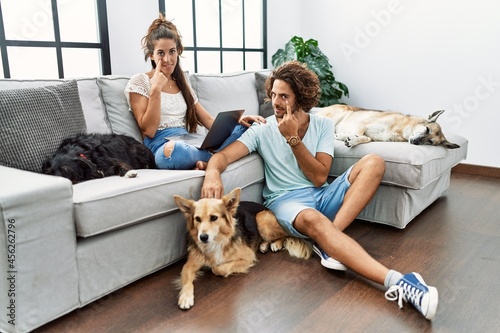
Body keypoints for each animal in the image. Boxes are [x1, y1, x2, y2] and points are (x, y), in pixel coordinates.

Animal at [174, 187, 310, 308]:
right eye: (197, 219)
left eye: (214, 218)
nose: (202, 237)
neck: (217, 241)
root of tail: (266, 207)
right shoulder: (189, 264)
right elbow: (187, 280)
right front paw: (185, 297)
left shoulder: (247, 257)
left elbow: (218, 269)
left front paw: (215, 267)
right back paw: (263, 245)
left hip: (262, 222)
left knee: (285, 234)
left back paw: (275, 244)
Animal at [318, 104, 458, 148]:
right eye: (427, 129)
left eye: (430, 141)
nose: (416, 142)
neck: (401, 129)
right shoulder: (361, 124)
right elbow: (363, 136)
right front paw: (351, 139)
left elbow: (368, 138)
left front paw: (347, 138)